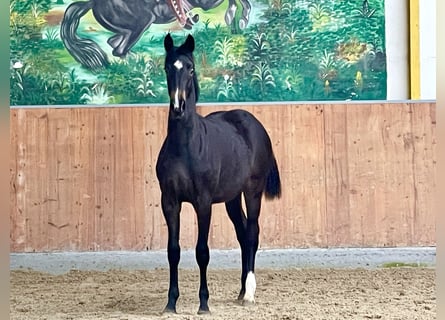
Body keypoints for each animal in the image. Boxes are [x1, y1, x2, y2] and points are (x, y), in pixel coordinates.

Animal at [60, 0, 251, 69]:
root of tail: (92, 3)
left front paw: (235, 19)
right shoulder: (206, 3)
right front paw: (240, 18)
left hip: (130, 29)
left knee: (114, 43)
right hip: (141, 23)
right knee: (118, 49)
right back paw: (144, 64)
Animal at [156, 33, 280, 314]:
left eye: (190, 68)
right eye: (167, 67)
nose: (178, 107)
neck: (185, 146)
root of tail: (255, 125)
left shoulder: (203, 203)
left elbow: (202, 251)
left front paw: (204, 303)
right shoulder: (169, 202)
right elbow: (173, 251)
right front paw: (171, 303)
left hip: (252, 191)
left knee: (252, 232)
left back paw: (249, 293)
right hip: (232, 198)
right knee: (243, 234)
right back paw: (241, 291)